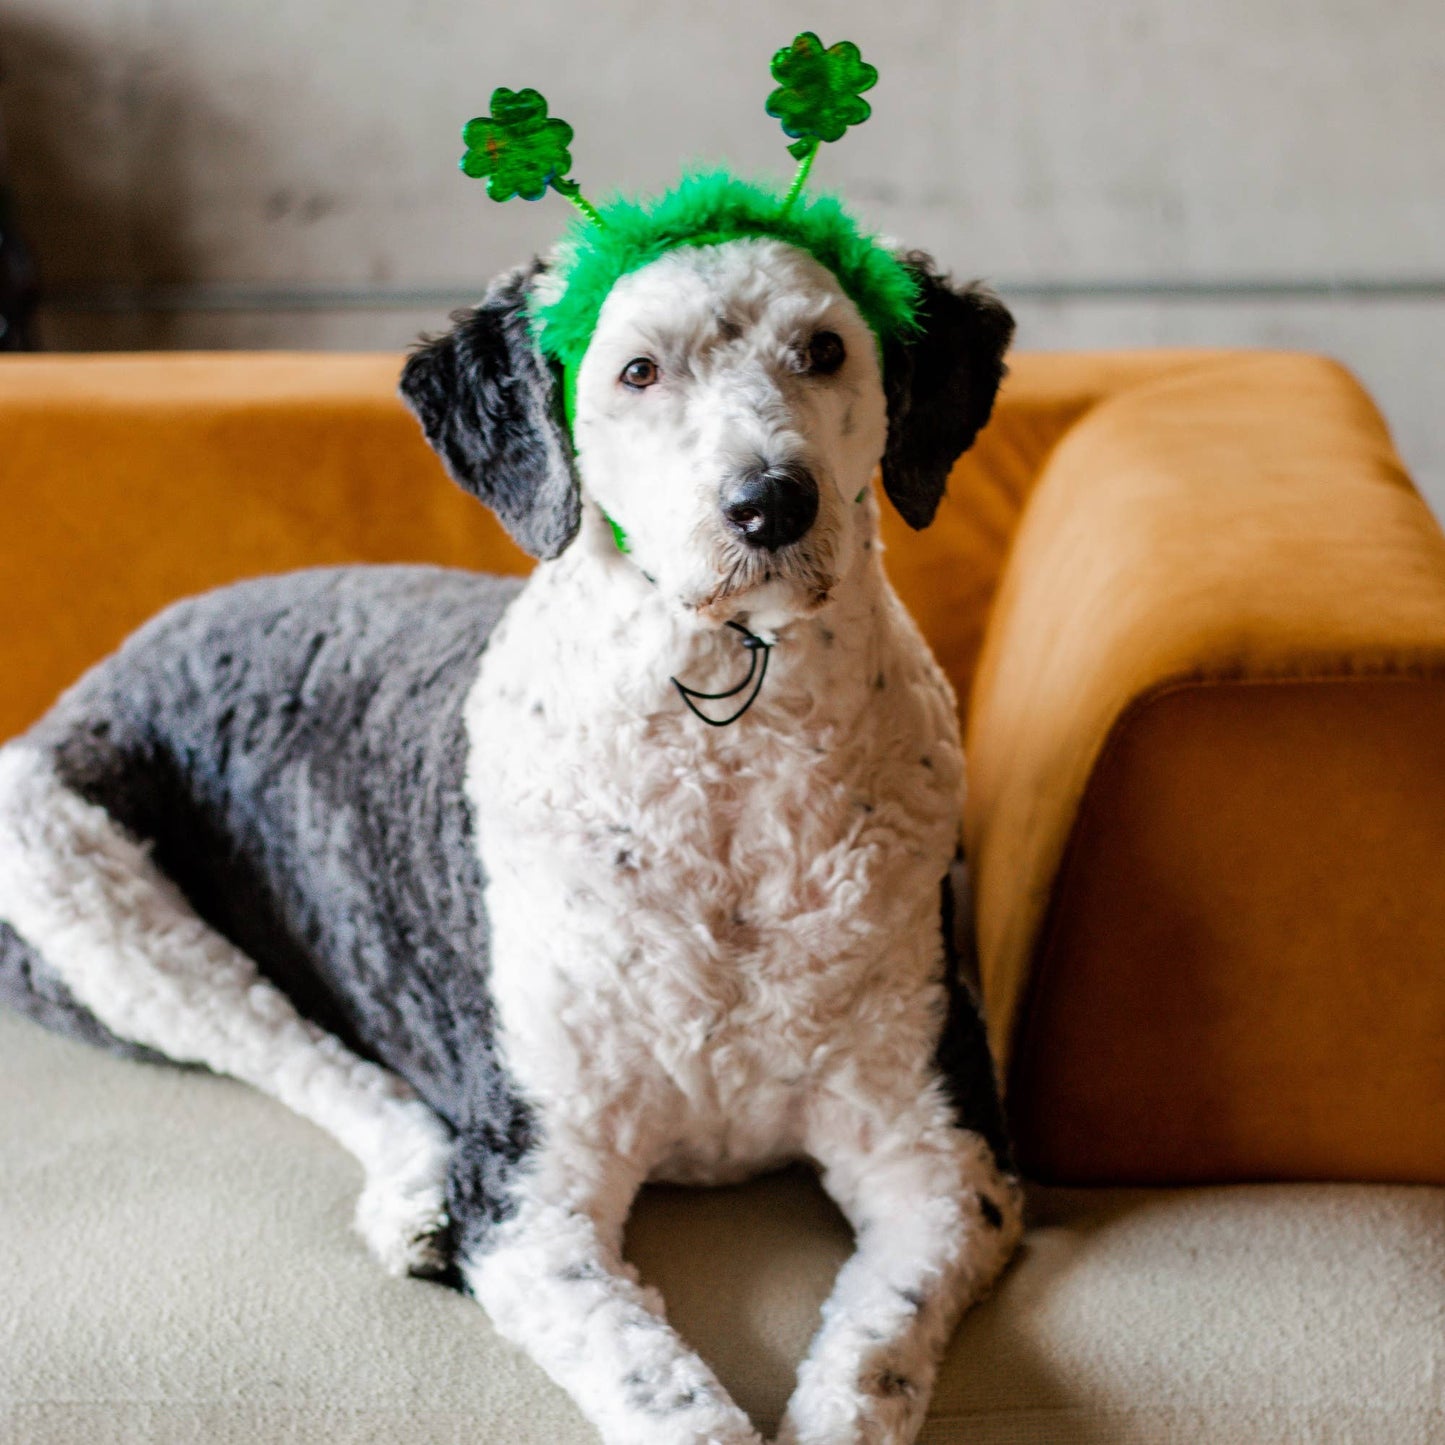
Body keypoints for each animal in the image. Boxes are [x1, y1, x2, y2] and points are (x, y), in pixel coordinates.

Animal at [0, 231, 1017, 1439]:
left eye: (823, 350)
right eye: (637, 371)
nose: (768, 501)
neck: (732, 748)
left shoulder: (942, 1159)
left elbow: (871, 1366)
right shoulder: (531, 1193)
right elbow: (668, 1397)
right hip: (85, 885)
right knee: (306, 1056)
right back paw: (412, 1194)